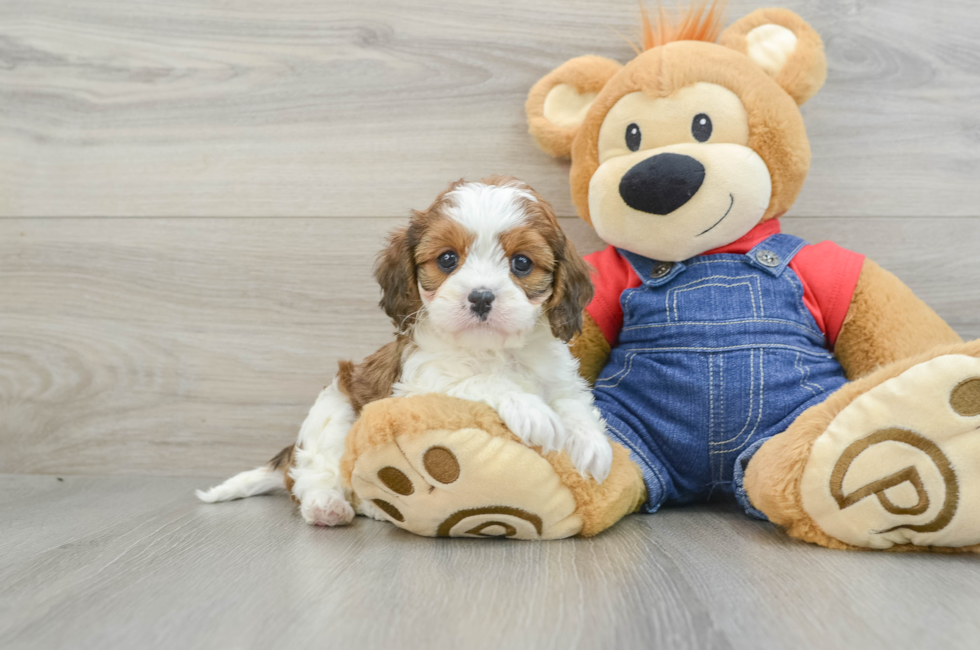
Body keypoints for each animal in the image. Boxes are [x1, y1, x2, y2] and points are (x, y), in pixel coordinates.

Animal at [197, 177, 612, 528]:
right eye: (447, 259)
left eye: (522, 263)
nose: (480, 297)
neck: (492, 349)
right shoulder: (420, 382)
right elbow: (481, 380)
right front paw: (530, 410)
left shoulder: (560, 378)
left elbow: (574, 402)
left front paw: (592, 444)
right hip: (334, 413)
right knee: (314, 474)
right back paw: (327, 506)